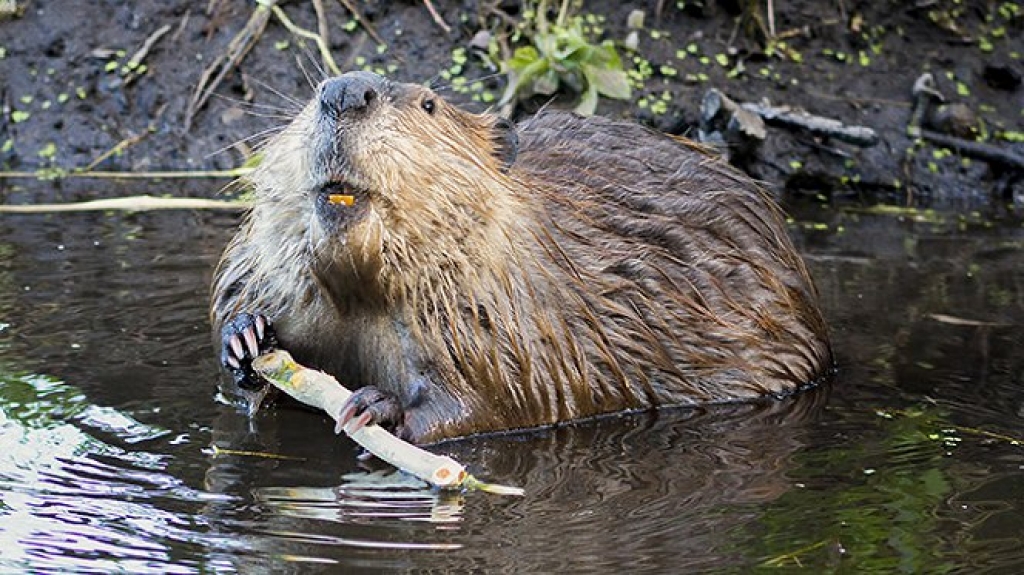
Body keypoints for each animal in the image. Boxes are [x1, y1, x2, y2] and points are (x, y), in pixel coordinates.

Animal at [209, 69, 831, 439]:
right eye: (311, 97)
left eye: (429, 104)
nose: (343, 91)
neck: (363, 290)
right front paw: (247, 338)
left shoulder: (509, 328)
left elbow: (492, 403)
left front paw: (376, 408)